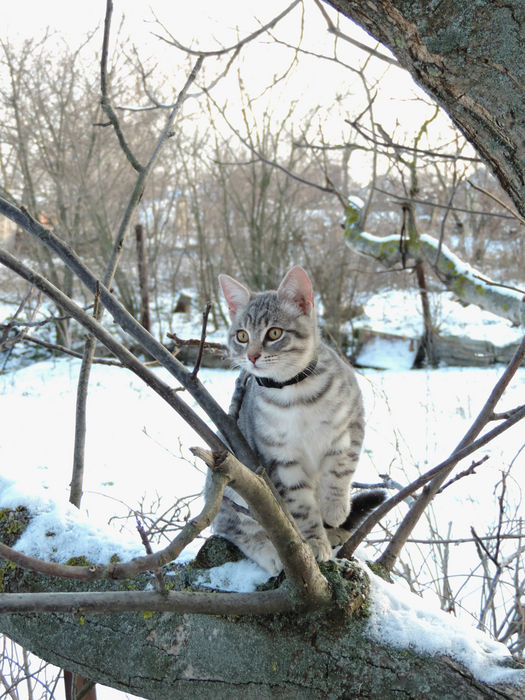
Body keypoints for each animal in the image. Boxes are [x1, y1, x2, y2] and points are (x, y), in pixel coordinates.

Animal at [207, 268, 374, 576]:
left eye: (274, 333)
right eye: (242, 335)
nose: (252, 355)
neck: (295, 396)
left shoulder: (351, 425)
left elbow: (339, 471)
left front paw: (335, 509)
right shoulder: (280, 459)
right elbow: (301, 505)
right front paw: (314, 541)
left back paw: (334, 530)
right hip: (236, 487)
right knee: (229, 525)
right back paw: (269, 551)